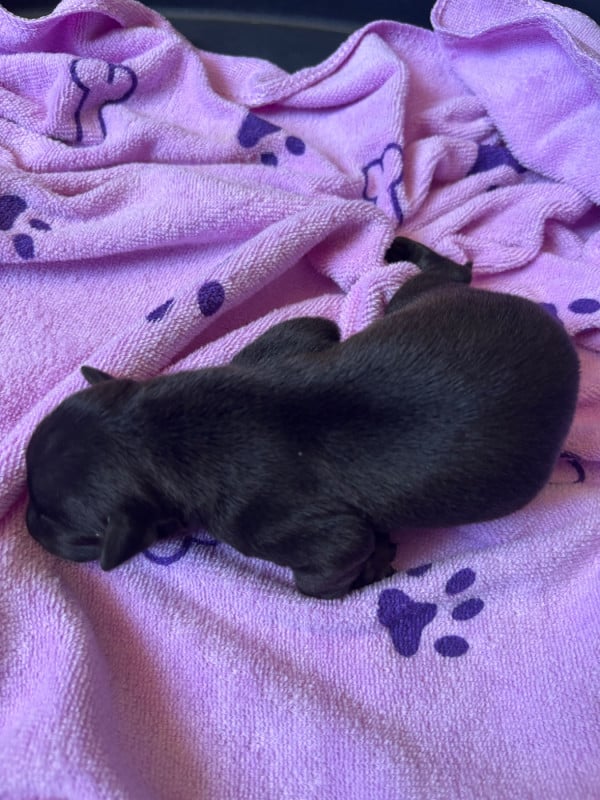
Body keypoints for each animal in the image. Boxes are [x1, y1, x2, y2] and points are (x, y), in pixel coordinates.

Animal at [25, 238, 580, 599]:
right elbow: (314, 327)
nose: (27, 524)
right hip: (431, 303)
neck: (158, 430)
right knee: (450, 276)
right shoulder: (295, 336)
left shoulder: (299, 534)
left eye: (61, 525)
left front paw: (375, 566)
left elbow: (322, 578)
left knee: (451, 271)